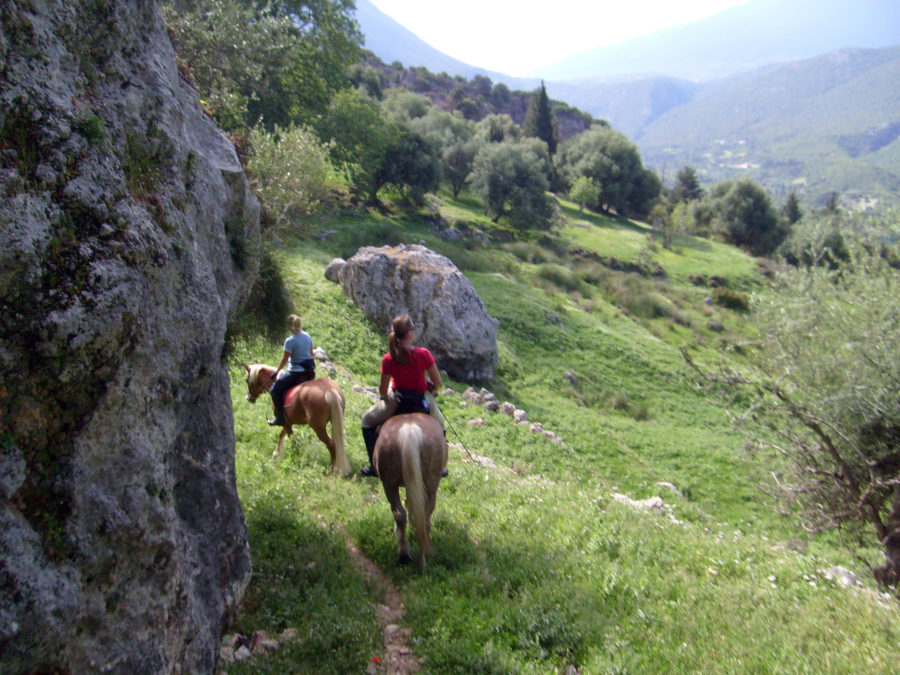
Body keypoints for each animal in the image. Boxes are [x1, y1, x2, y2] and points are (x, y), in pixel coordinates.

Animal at [372, 414, 446, 568]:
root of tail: (409, 429)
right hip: (430, 484)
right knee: (422, 517)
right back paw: (420, 557)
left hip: (389, 485)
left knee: (400, 513)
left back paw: (405, 554)